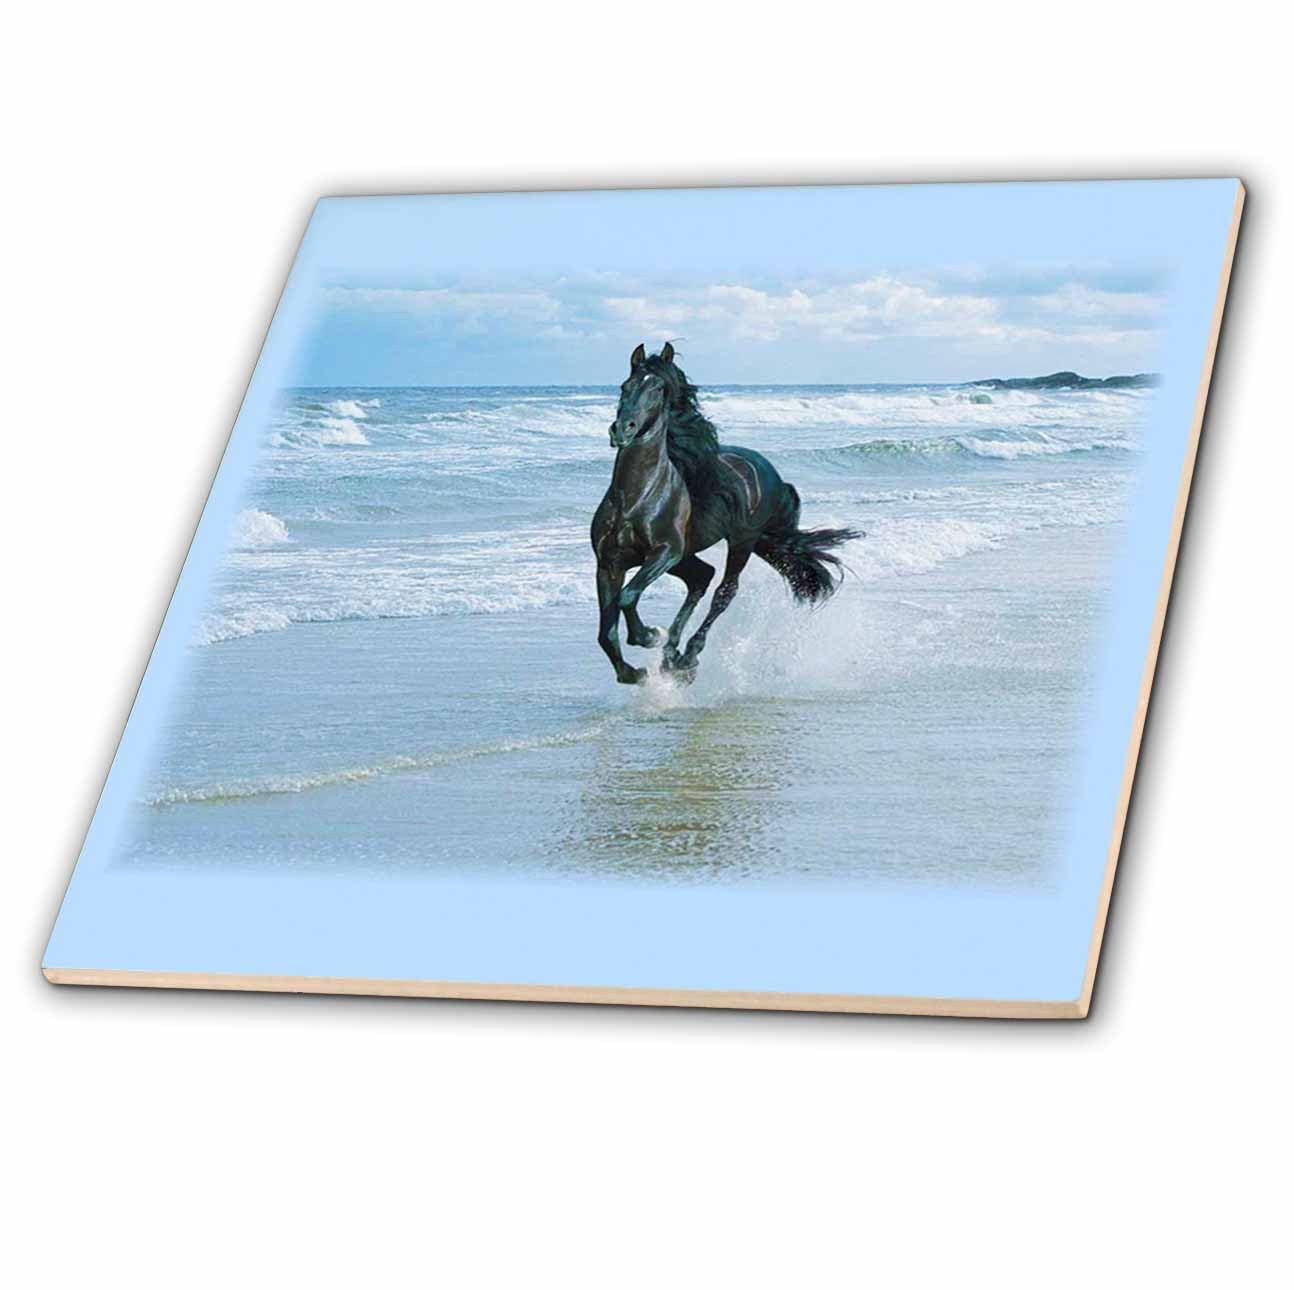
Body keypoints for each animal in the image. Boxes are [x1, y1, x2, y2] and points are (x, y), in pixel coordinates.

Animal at [590, 342, 863, 684]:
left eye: (658, 389)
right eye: (625, 386)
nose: (622, 430)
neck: (635, 498)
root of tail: (770, 472)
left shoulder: (664, 552)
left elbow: (627, 597)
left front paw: (649, 635)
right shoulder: (609, 563)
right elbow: (606, 631)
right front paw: (633, 671)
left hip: (741, 542)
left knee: (724, 591)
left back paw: (686, 656)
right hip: (691, 556)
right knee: (701, 578)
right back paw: (672, 658)